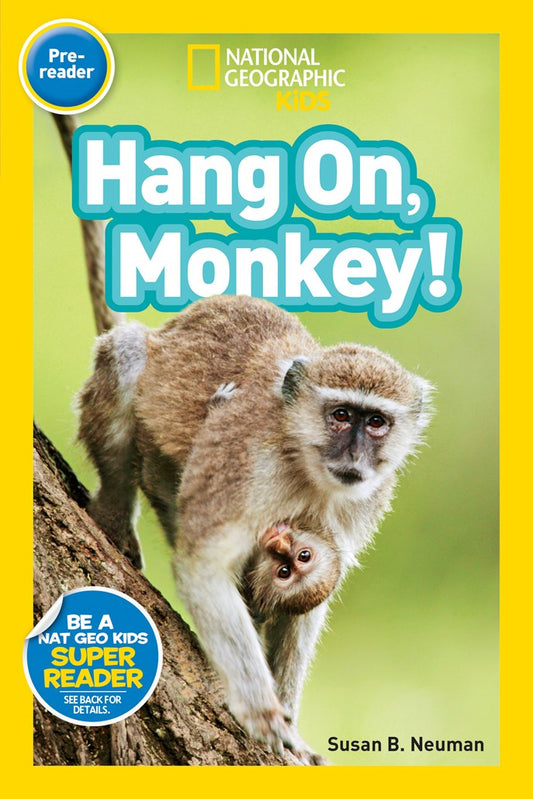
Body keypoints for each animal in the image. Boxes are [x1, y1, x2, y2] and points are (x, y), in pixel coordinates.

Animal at [54, 113, 433, 763]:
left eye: (377, 422)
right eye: (341, 415)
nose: (355, 454)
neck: (307, 468)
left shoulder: (360, 505)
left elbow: (312, 600)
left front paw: (290, 728)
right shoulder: (245, 461)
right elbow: (205, 563)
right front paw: (262, 710)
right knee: (127, 354)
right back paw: (114, 509)